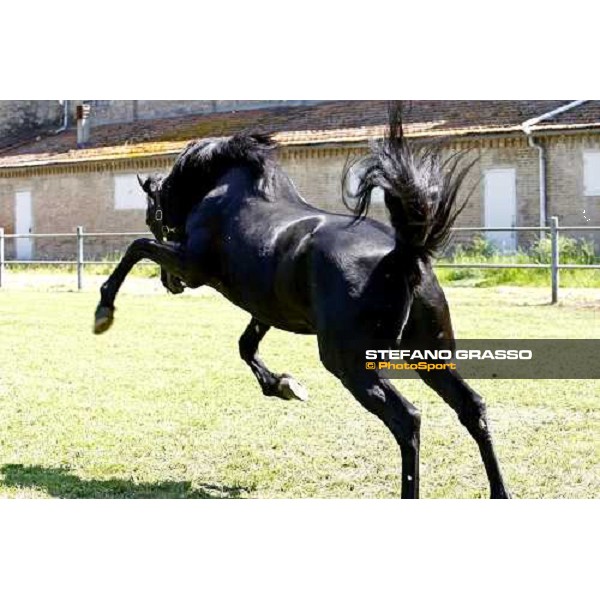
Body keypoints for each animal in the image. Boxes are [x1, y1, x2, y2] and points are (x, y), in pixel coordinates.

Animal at [95, 106, 510, 496]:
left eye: (153, 215)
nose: (172, 285)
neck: (227, 195)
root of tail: (401, 256)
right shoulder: (265, 306)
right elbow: (246, 346)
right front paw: (284, 386)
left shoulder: (193, 267)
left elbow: (138, 248)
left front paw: (104, 312)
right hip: (430, 355)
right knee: (472, 407)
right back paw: (499, 492)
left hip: (351, 364)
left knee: (407, 420)